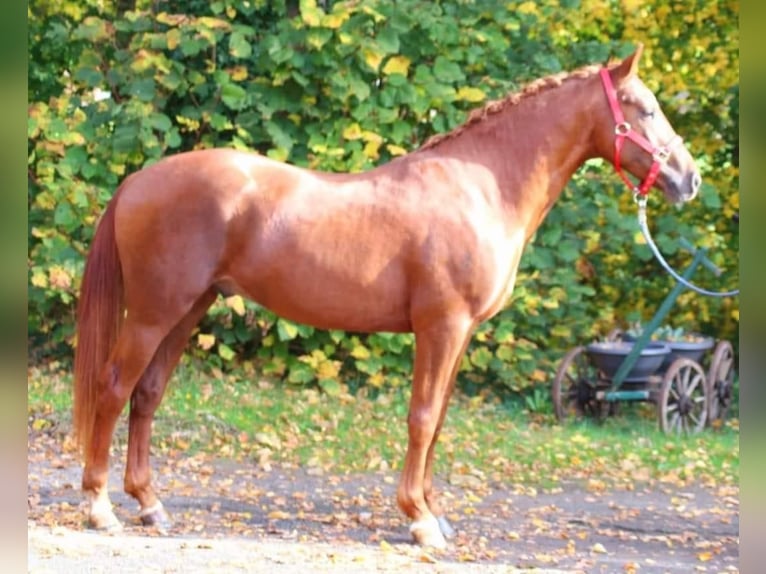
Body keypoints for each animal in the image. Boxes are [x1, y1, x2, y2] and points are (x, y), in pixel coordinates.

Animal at [73, 46, 704, 548]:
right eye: (646, 109)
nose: (690, 179)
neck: (482, 185)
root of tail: (138, 180)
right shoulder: (442, 326)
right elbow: (422, 419)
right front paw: (419, 521)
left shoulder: (461, 333)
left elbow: (440, 421)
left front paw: (434, 512)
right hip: (153, 313)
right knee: (114, 388)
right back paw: (100, 508)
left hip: (188, 309)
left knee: (147, 395)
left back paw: (150, 504)